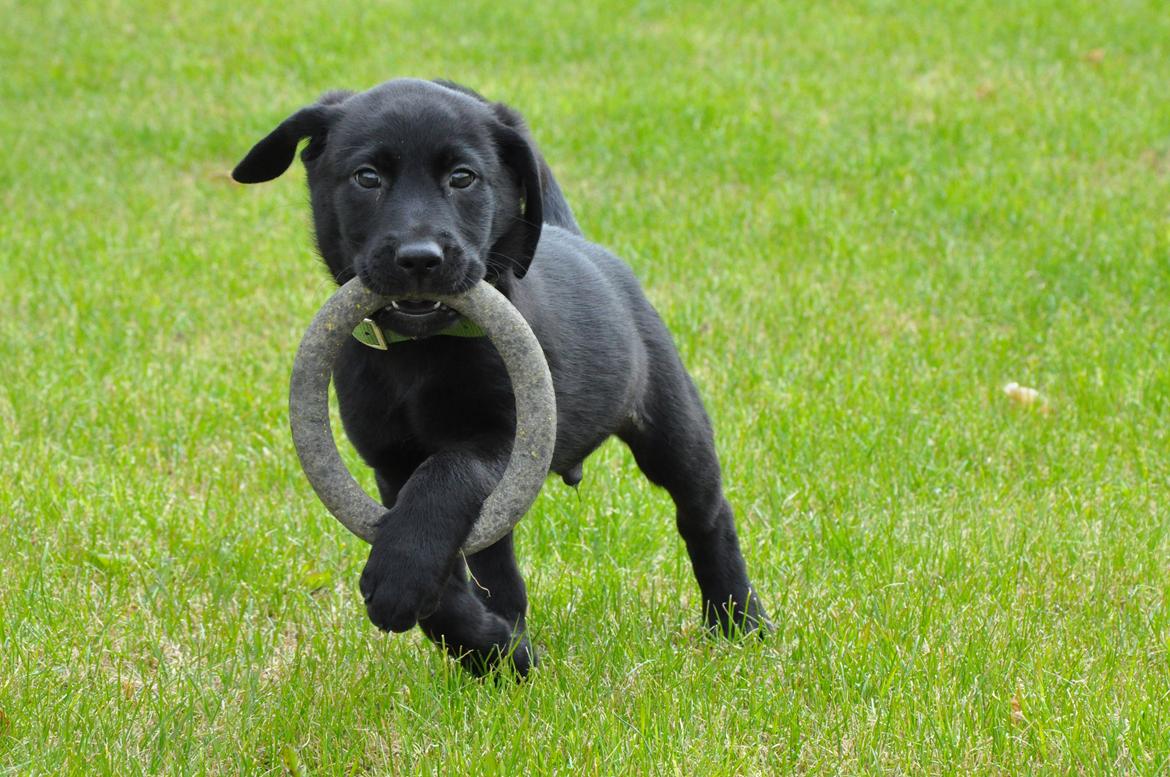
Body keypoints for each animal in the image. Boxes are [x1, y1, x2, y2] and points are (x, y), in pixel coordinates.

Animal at [232, 77, 772, 674]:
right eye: (367, 177)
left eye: (463, 177)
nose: (419, 259)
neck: (421, 352)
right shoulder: (390, 466)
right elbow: (444, 575)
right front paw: (492, 648)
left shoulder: (506, 437)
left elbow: (445, 473)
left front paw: (406, 582)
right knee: (501, 570)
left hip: (673, 428)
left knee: (705, 515)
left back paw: (739, 620)